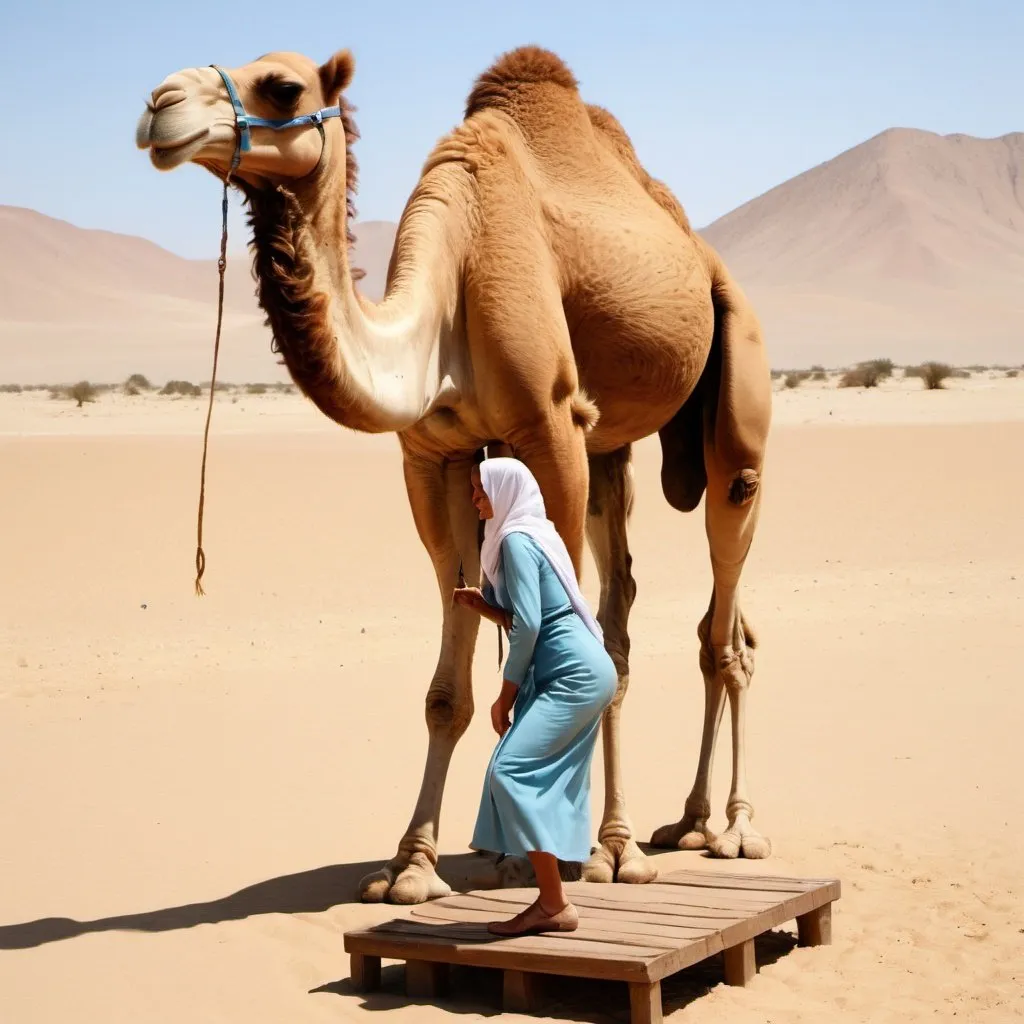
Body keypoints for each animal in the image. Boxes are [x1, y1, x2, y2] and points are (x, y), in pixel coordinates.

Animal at [138, 44, 774, 901]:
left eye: (284, 86)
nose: (159, 106)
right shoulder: (434, 459)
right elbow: (450, 687)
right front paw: (415, 865)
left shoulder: (551, 428)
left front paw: (552, 855)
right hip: (612, 448)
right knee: (637, 613)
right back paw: (671, 824)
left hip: (735, 386)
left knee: (723, 625)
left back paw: (721, 831)